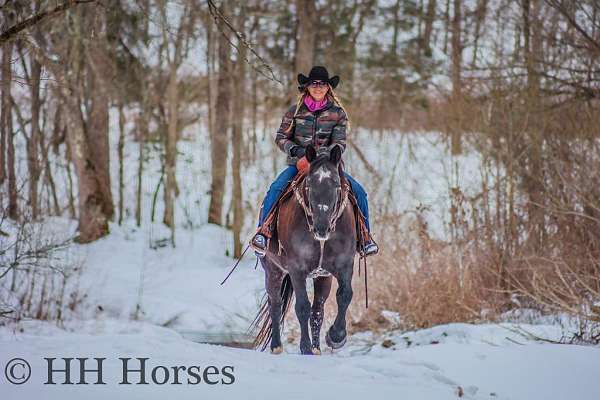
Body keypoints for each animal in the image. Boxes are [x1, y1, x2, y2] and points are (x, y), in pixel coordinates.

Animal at [250, 145, 356, 356]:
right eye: (309, 184)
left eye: (335, 184)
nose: (321, 227)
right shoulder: (296, 269)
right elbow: (302, 307)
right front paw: (305, 347)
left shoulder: (344, 265)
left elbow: (345, 295)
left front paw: (336, 337)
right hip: (273, 271)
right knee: (276, 304)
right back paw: (277, 346)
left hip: (322, 276)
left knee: (318, 309)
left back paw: (317, 348)